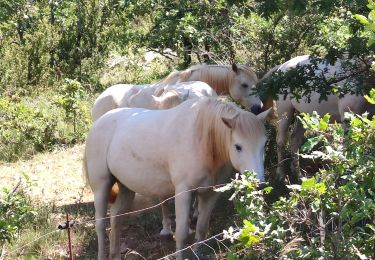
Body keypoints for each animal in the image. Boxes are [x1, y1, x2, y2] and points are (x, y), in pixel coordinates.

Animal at [83, 97, 270, 260]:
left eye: (264, 144)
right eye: (238, 146)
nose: (259, 184)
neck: (203, 139)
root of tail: (99, 122)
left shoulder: (210, 194)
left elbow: (201, 230)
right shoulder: (183, 192)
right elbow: (181, 233)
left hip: (126, 187)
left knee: (116, 217)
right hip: (102, 186)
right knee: (100, 225)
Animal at [260, 54, 375, 183]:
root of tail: (281, 67)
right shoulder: (349, 117)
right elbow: (349, 146)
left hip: (303, 115)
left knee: (295, 139)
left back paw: (299, 175)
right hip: (285, 111)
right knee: (281, 141)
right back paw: (281, 174)